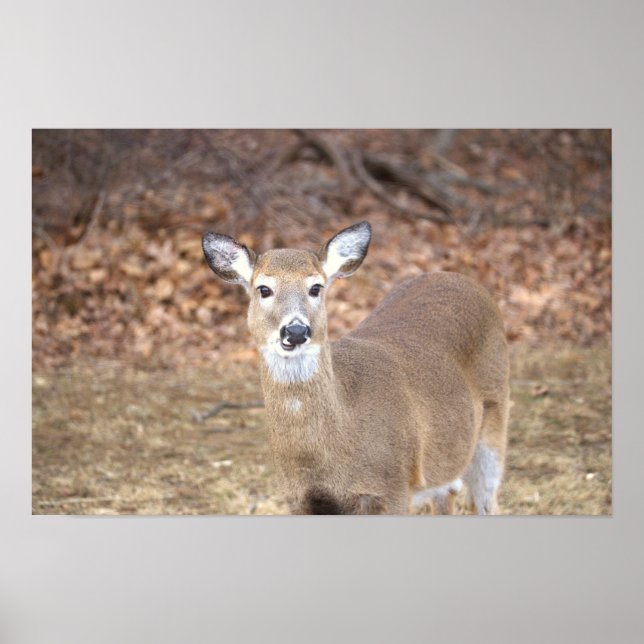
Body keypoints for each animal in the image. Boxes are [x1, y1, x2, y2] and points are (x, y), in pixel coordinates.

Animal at [202, 221, 510, 515]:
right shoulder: (299, 498)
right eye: (264, 289)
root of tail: (463, 279)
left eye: (316, 287)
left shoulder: (394, 486)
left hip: (495, 422)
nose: (296, 330)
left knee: (488, 502)